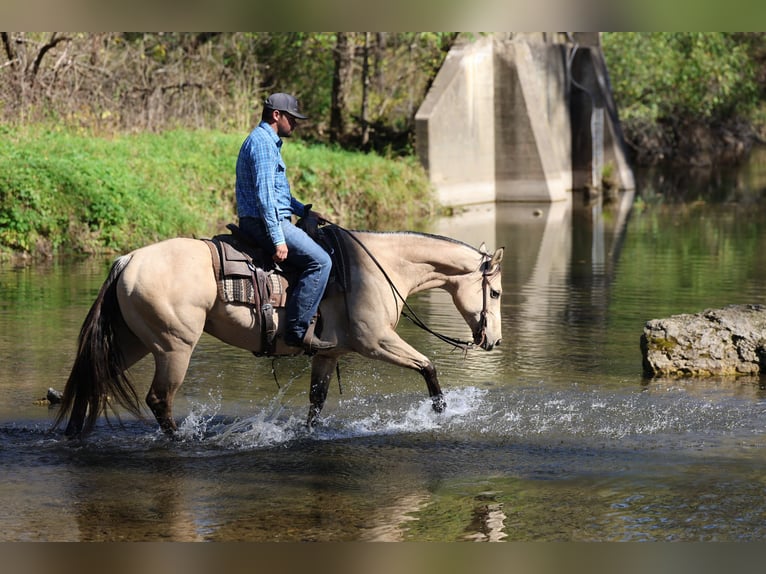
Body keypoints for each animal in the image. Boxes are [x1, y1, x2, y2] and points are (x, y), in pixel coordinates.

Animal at [53, 226, 504, 437]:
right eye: (496, 292)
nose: (493, 340)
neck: (378, 268)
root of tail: (127, 261)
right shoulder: (376, 342)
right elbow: (428, 367)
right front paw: (441, 415)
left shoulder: (328, 354)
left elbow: (316, 404)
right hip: (173, 347)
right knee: (159, 400)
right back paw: (180, 441)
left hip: (131, 342)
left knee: (93, 381)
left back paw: (74, 434)